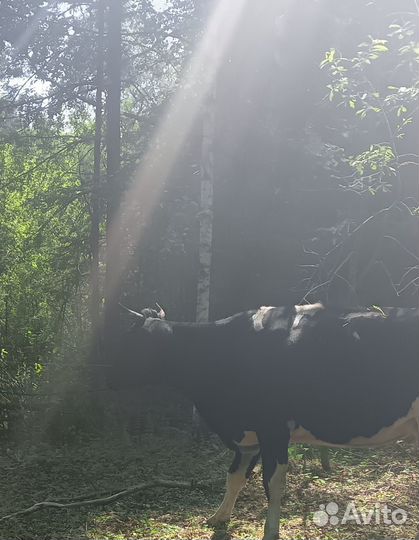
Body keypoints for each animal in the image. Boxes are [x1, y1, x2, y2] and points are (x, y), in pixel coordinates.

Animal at [109, 304, 419, 540]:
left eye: (132, 342)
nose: (107, 375)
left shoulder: (274, 430)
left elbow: (272, 483)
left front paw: (270, 531)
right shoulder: (249, 436)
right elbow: (234, 476)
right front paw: (218, 517)